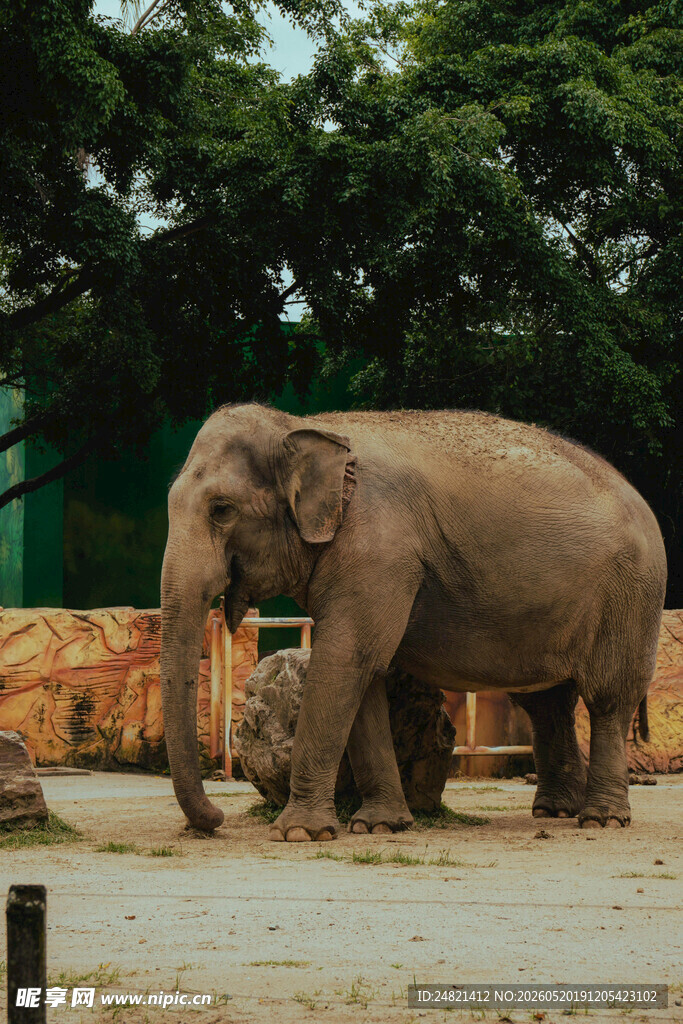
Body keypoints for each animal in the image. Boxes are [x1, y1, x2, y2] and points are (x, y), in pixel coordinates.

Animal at [160, 404, 666, 840]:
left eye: (222, 509)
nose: (216, 818)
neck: (305, 426)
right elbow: (363, 674)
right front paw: (380, 826)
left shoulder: (380, 548)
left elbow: (346, 660)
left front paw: (299, 833)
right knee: (546, 703)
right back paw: (554, 811)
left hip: (631, 596)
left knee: (608, 699)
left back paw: (601, 819)